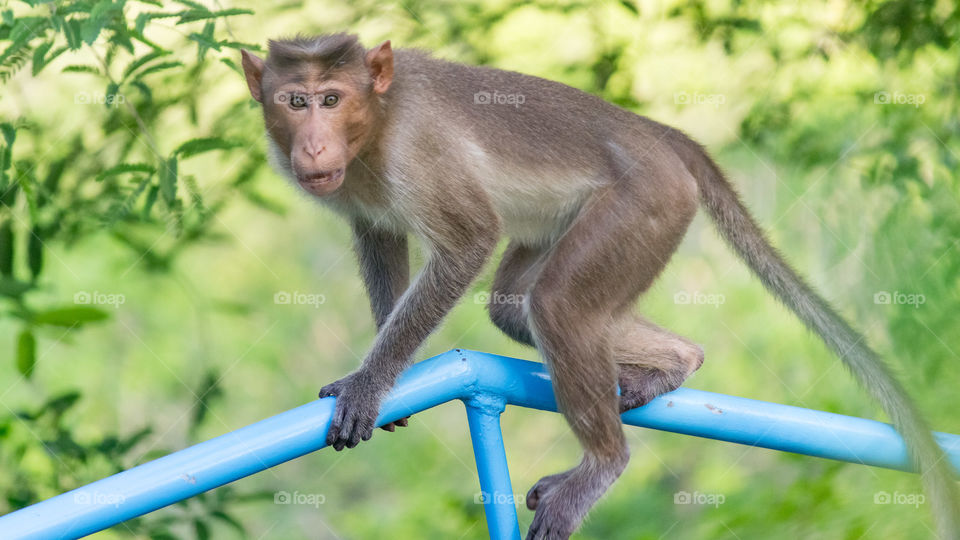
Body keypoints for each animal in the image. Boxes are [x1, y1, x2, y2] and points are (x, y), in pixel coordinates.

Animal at [239, 34, 959, 540]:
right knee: (517, 307)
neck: (376, 127)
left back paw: (604, 463)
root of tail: (659, 133)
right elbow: (380, 238)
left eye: (332, 98)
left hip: (647, 203)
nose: (312, 146)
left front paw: (373, 379)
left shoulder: (417, 153)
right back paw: (676, 362)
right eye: (294, 101)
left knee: (556, 305)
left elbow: (468, 240)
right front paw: (391, 381)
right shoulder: (363, 192)